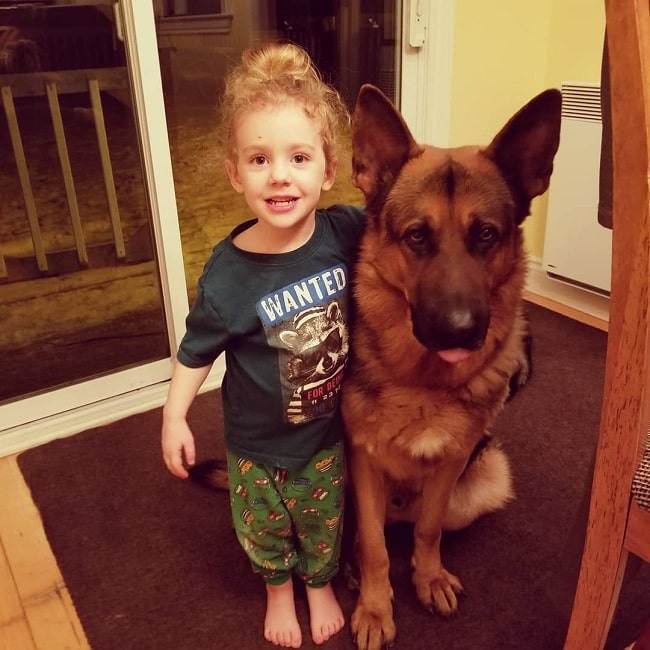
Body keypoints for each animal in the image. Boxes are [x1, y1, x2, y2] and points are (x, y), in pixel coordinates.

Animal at [342, 86, 560, 648]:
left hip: (487, 477)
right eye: (417, 237)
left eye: (486, 235)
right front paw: (375, 607)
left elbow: (429, 529)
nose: (461, 330)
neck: (422, 383)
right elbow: (374, 547)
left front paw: (429, 578)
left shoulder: (449, 464)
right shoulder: (363, 464)